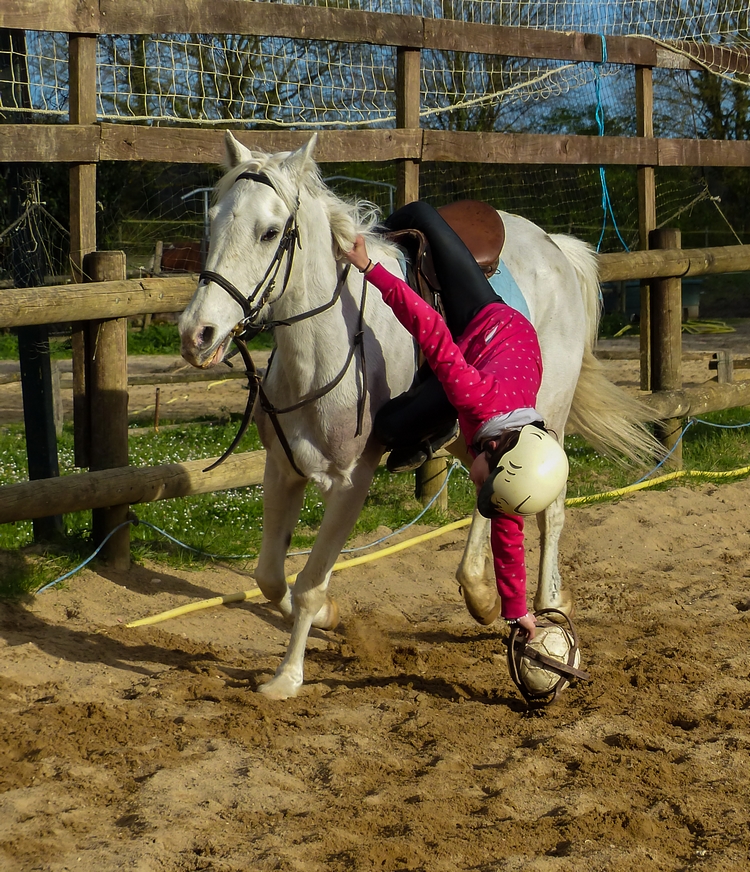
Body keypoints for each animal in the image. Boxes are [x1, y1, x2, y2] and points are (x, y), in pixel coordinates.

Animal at [179, 131, 656, 700]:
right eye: (212, 222)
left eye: (270, 232)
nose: (197, 333)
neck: (324, 347)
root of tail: (556, 247)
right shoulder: (283, 467)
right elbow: (272, 577)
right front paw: (328, 618)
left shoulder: (351, 482)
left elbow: (311, 582)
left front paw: (287, 677)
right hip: (471, 432)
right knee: (489, 496)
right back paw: (481, 594)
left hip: (551, 420)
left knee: (552, 511)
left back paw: (549, 603)